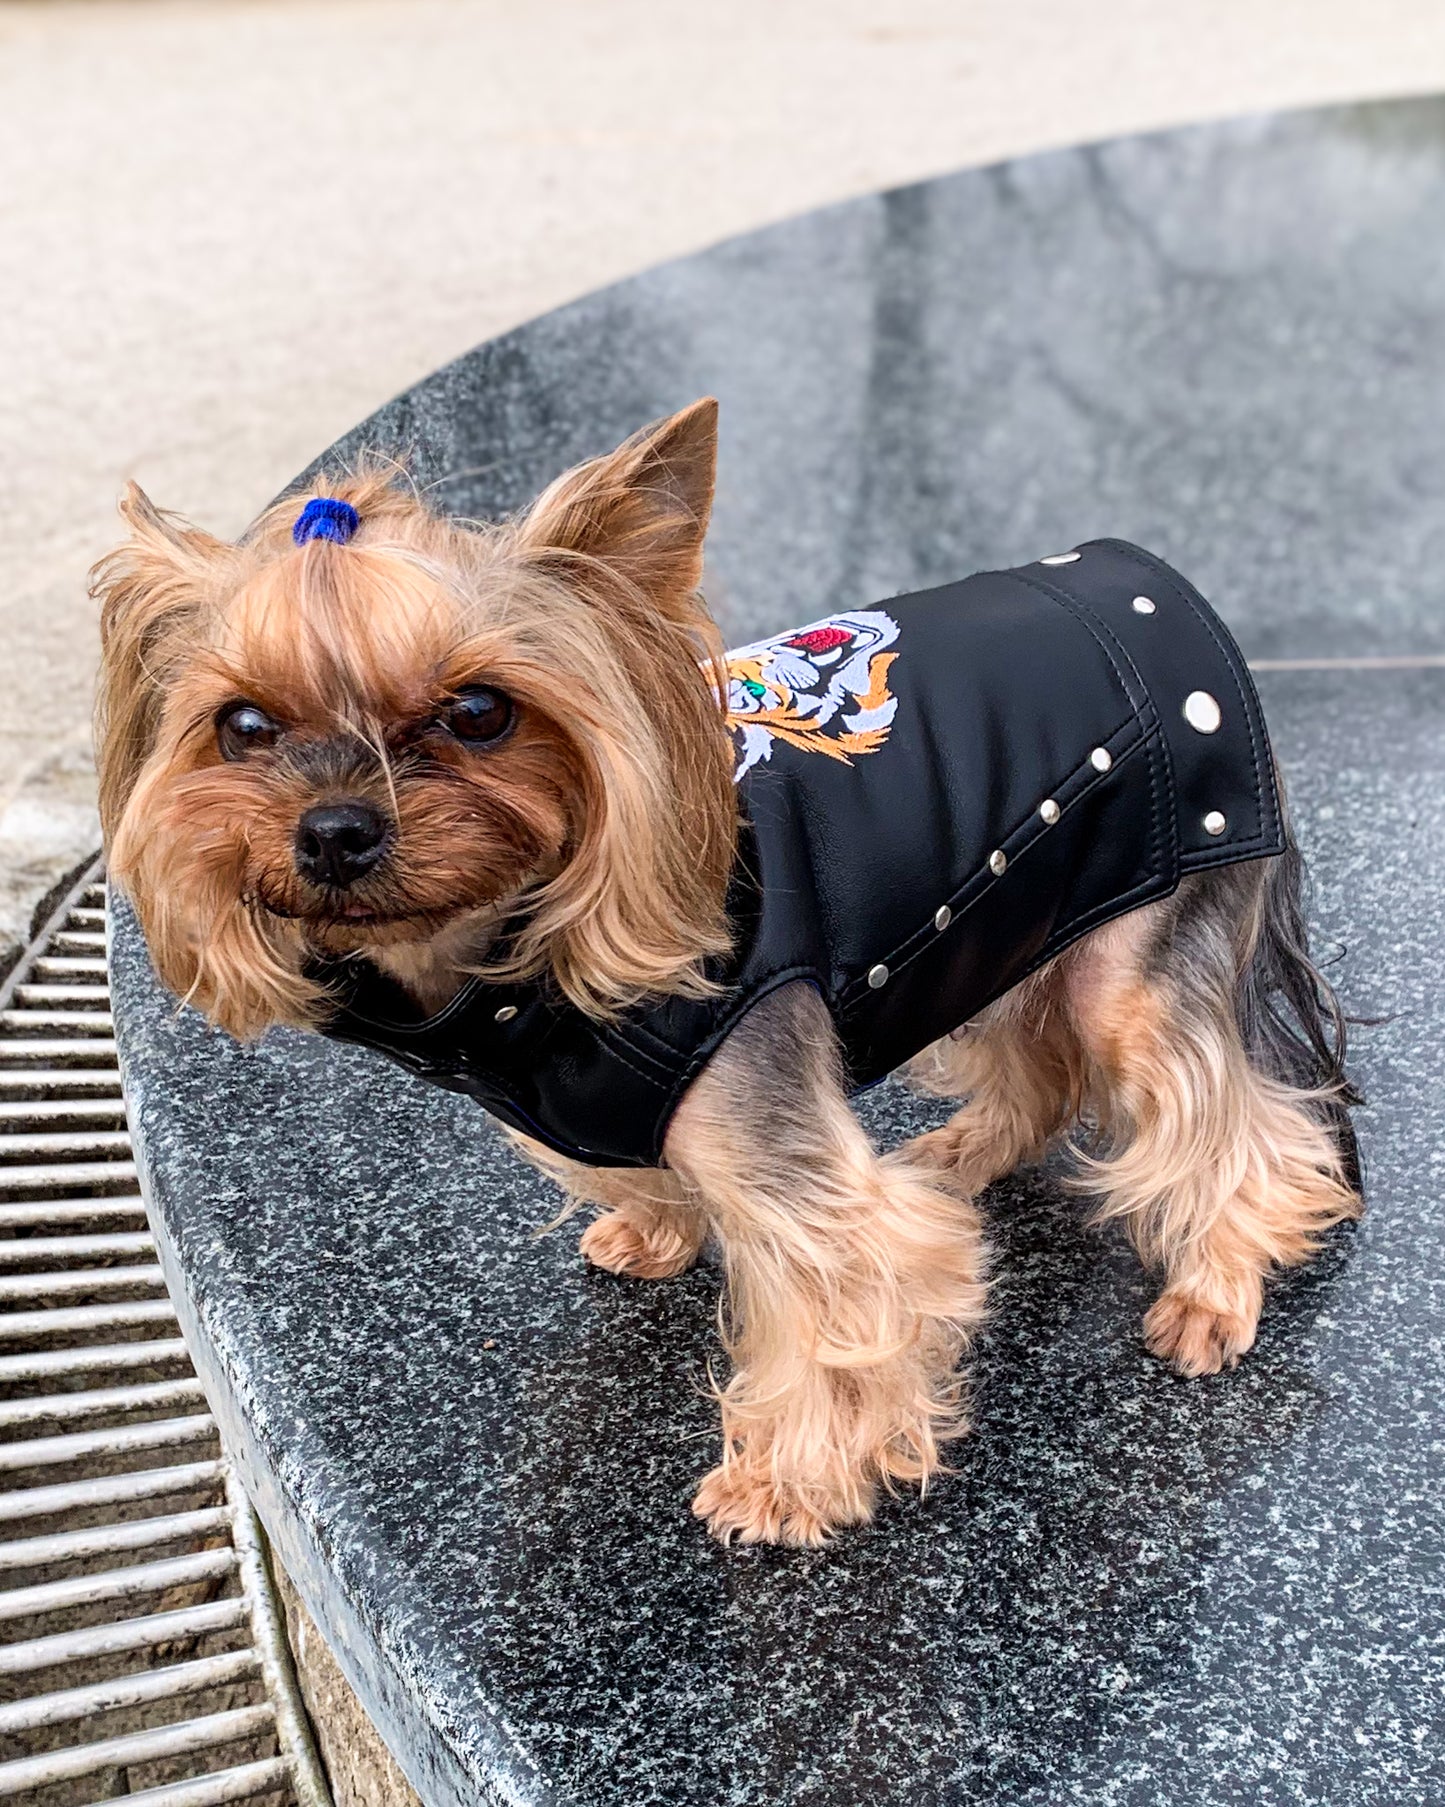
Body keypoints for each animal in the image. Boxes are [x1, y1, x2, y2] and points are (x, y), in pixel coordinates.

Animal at [93, 402, 1358, 1546]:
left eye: (478, 711)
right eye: (242, 726)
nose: (334, 831)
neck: (516, 952)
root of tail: (1154, 583)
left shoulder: (777, 1133)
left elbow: (838, 1302)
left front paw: (784, 1489)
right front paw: (652, 1231)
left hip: (1137, 946)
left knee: (1233, 1117)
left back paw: (1212, 1291)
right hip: (1014, 908)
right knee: (1037, 1057)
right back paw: (963, 1152)